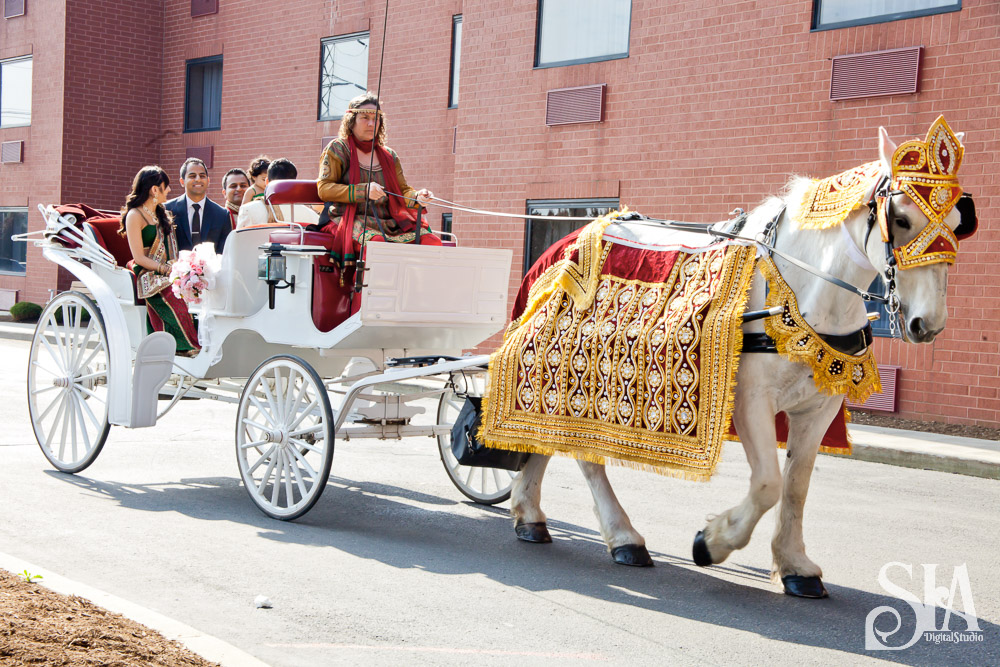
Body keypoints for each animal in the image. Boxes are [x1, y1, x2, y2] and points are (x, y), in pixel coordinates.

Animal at [504, 121, 972, 600]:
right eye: (901, 219)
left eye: (959, 223)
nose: (928, 324)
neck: (804, 290)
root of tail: (566, 239)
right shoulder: (750, 398)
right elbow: (768, 484)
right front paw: (713, 542)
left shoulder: (818, 408)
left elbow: (796, 487)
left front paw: (794, 564)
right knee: (584, 455)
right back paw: (623, 537)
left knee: (544, 439)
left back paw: (530, 512)